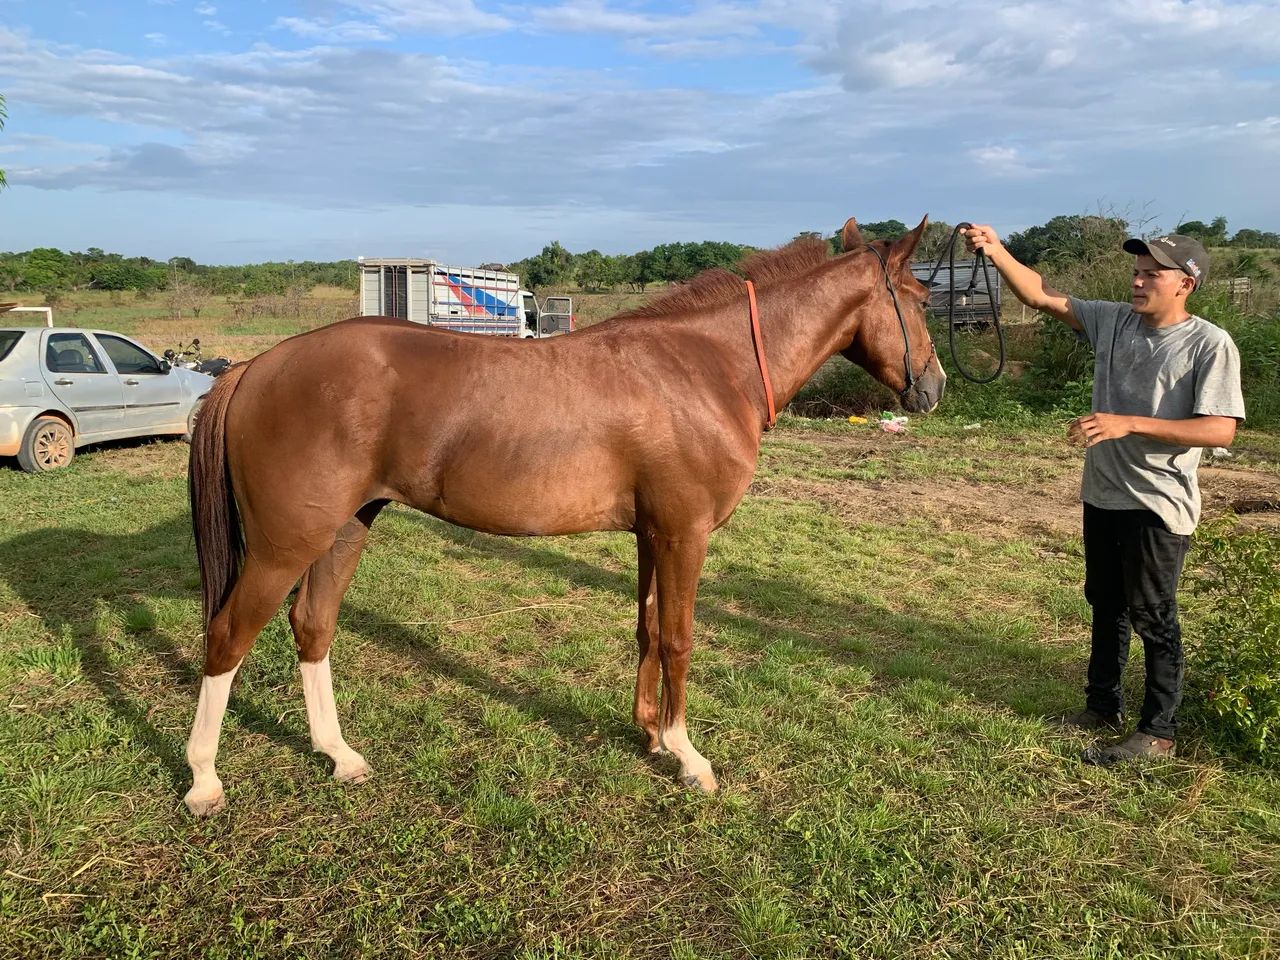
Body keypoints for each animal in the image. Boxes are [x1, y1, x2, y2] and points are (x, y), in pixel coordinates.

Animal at [183, 216, 944, 816]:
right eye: (918, 297)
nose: (933, 387)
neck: (703, 365)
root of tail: (253, 368)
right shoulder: (685, 535)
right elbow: (678, 639)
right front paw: (687, 755)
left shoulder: (653, 535)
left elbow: (646, 630)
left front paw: (648, 734)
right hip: (286, 544)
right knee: (227, 637)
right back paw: (203, 781)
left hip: (345, 530)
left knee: (312, 627)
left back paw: (339, 755)